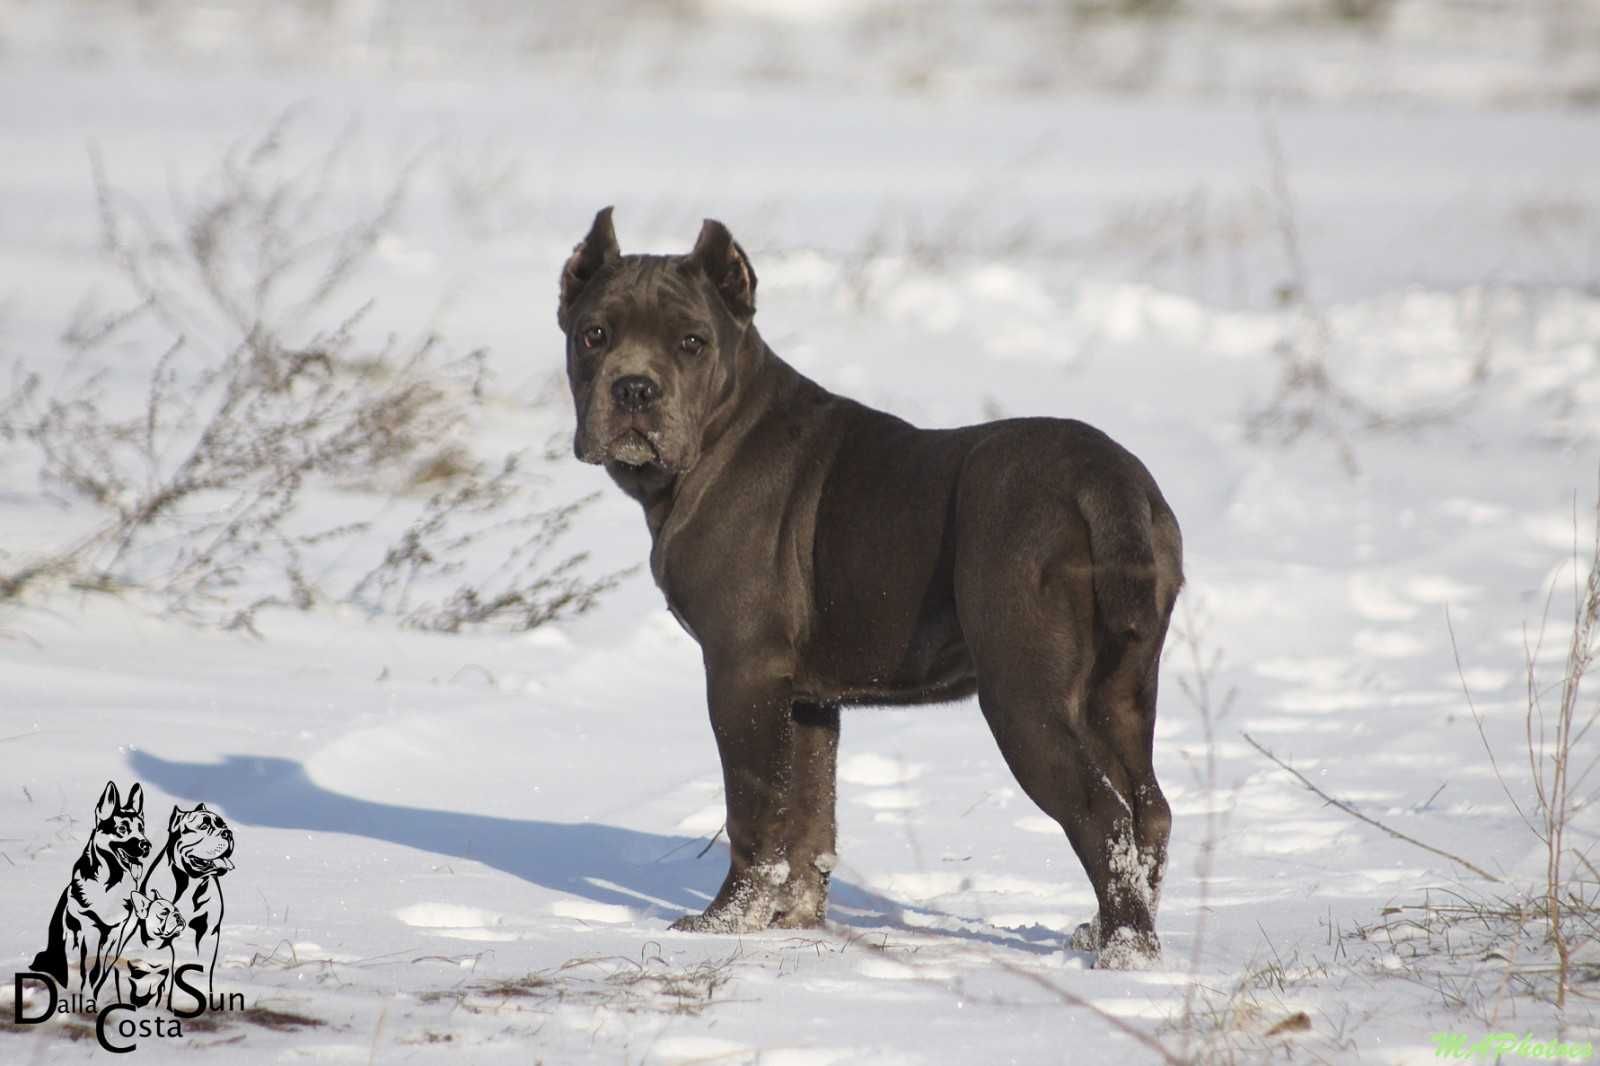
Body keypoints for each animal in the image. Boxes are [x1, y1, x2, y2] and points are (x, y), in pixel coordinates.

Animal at [32, 777, 151, 992]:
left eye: (142, 829)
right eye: (122, 829)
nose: (146, 845)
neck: (109, 883)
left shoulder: (115, 933)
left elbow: (100, 966)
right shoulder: (87, 929)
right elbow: (87, 967)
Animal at [556, 204, 1184, 960]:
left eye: (691, 343)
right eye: (594, 334)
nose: (634, 388)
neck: (721, 431)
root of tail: (1105, 477)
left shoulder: (741, 672)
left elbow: (755, 810)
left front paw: (723, 924)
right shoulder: (808, 700)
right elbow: (809, 822)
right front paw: (793, 924)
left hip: (1022, 697)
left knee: (1101, 812)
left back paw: (1123, 953)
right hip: (1122, 692)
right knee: (1147, 809)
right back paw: (1112, 935)